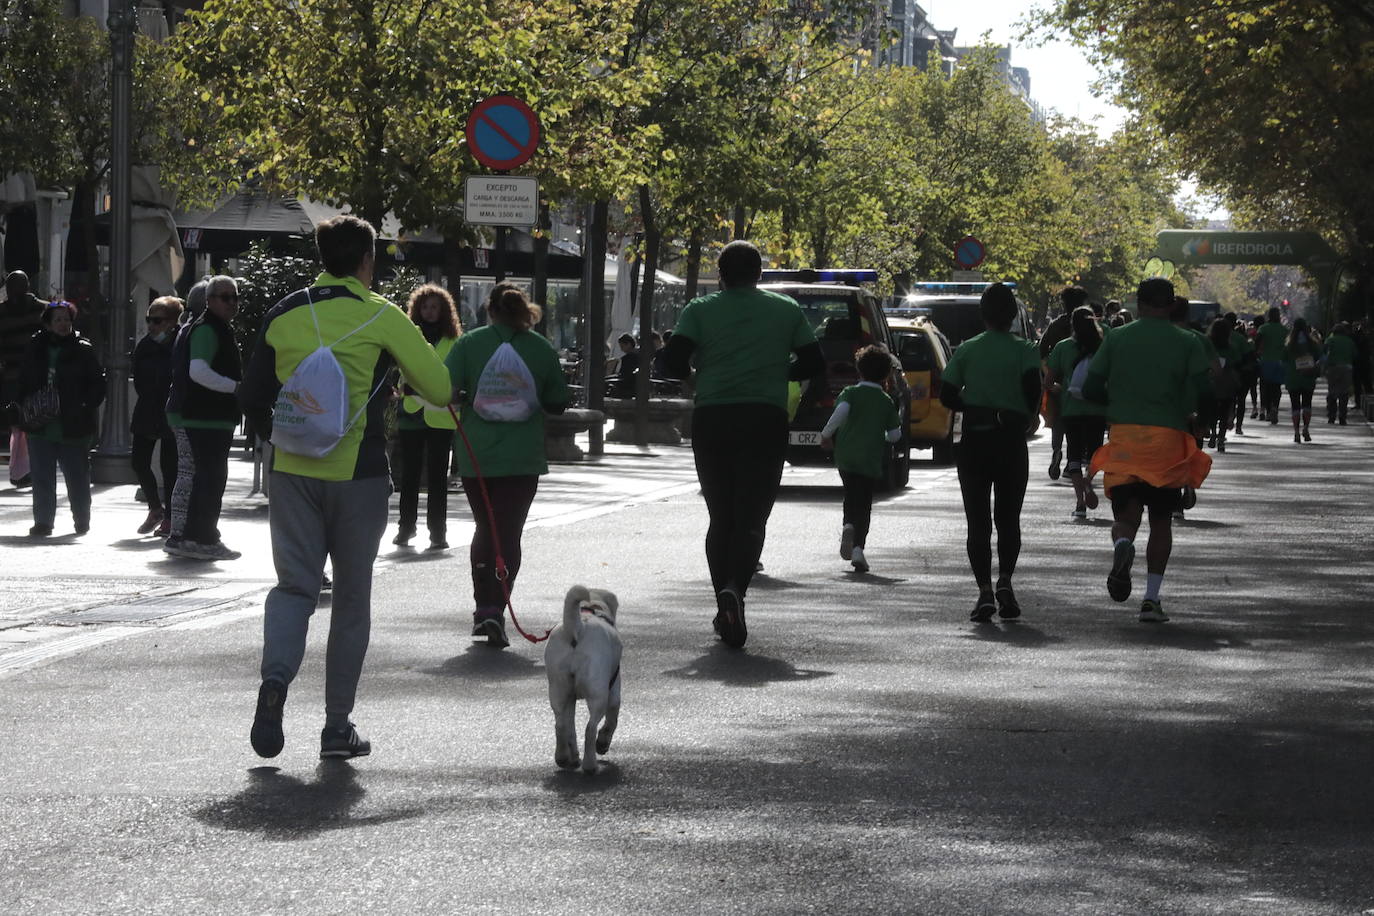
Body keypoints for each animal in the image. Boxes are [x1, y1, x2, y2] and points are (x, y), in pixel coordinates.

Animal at [544, 587, 626, 774]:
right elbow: (612, 720)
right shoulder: (614, 691)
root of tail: (578, 627)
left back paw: (563, 758)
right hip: (598, 694)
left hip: (558, 690)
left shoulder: (571, 699)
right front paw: (603, 743)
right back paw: (590, 765)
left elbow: (571, 730)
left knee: (561, 725)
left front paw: (573, 757)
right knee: (590, 728)